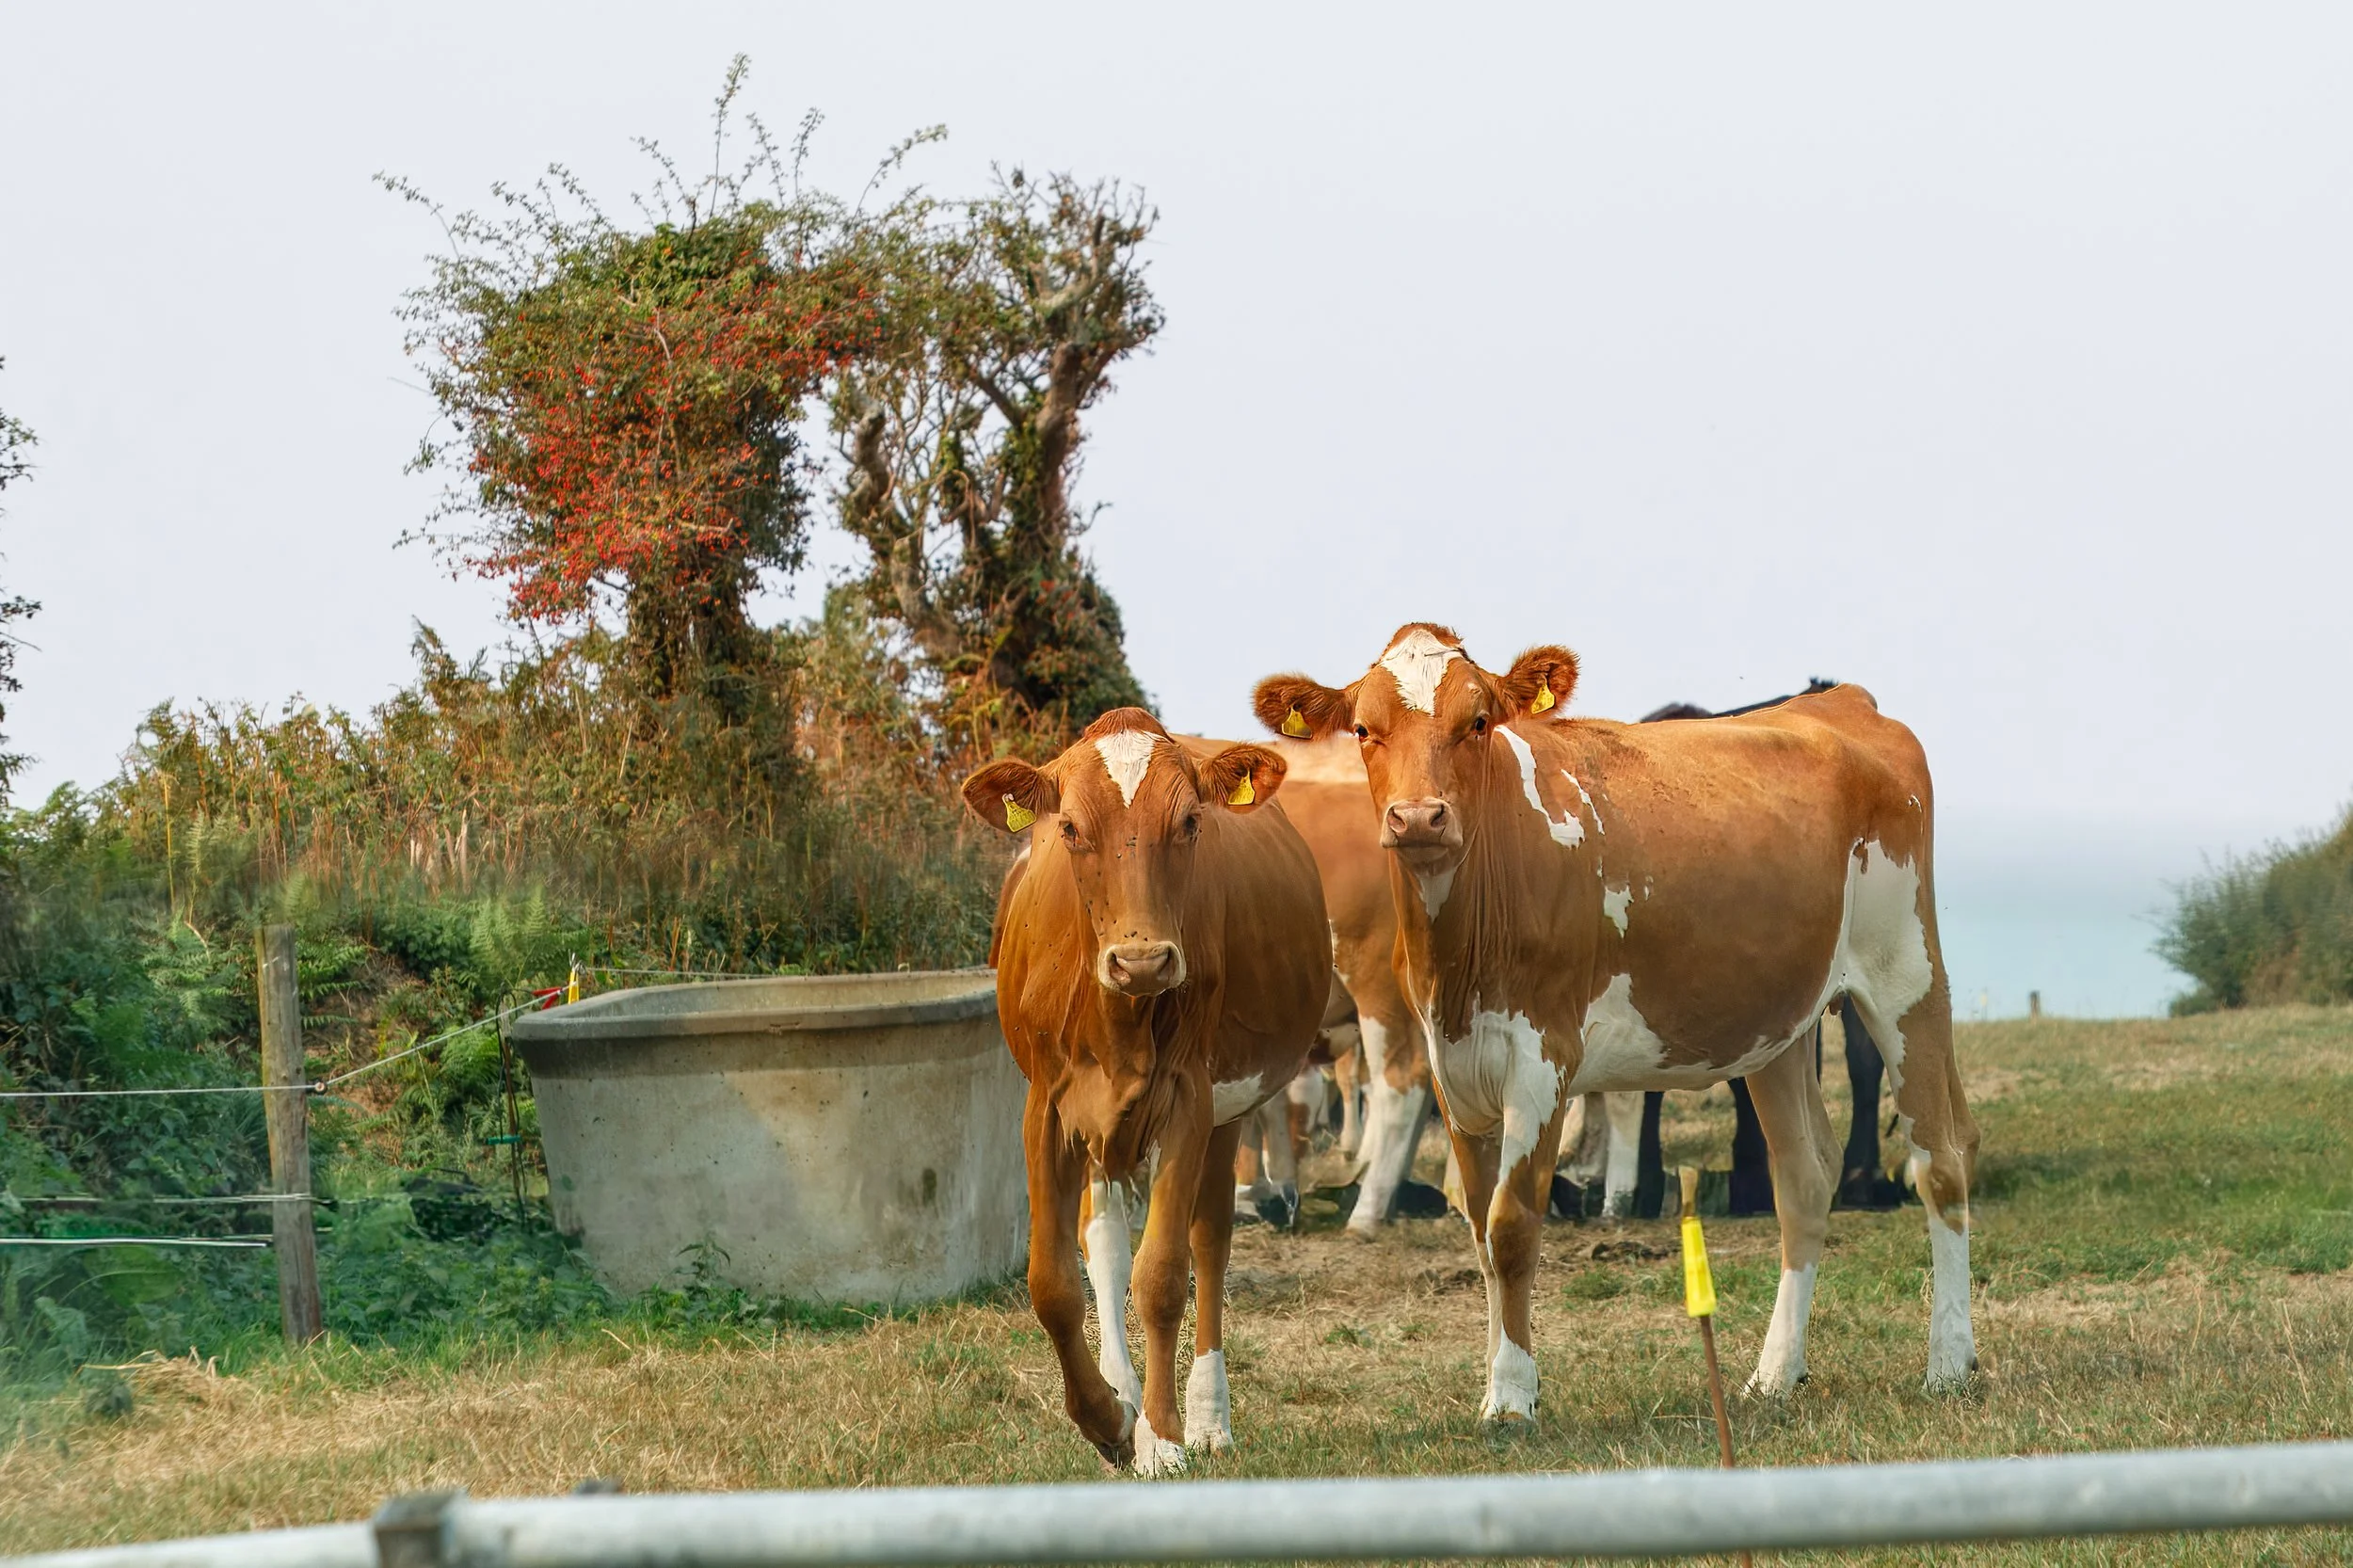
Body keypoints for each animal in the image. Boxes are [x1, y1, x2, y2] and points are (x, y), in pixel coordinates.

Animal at [964, 709, 1328, 1473]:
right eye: (1070, 826)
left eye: (1190, 821)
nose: (1140, 961)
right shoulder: (1046, 1107)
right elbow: (1052, 1283)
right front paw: (1108, 1419)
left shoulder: (1189, 1100)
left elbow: (1162, 1274)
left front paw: (1162, 1436)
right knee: (1102, 1243)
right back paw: (1121, 1389)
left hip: (1227, 1112)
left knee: (1209, 1241)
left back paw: (1208, 1417)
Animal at [1254, 625, 1979, 1419]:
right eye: (1363, 729)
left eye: (1478, 721)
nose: (1418, 817)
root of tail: (1841, 701)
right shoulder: (1455, 1066)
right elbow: (1479, 1229)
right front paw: (1496, 1381)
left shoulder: (1541, 1061)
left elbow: (1511, 1227)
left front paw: (1513, 1397)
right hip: (1778, 1027)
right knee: (1803, 1180)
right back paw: (1775, 1372)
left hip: (1905, 976)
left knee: (1940, 1161)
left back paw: (1949, 1362)